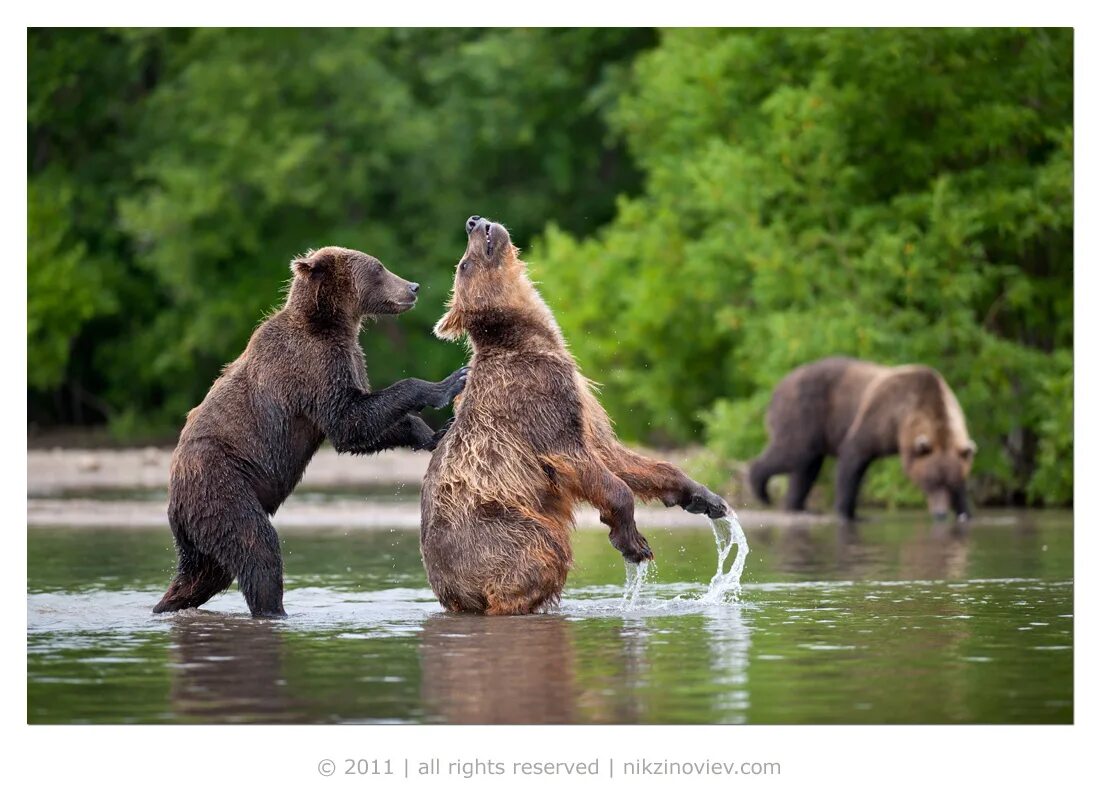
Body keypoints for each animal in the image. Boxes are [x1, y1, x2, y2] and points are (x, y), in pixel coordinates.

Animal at [151, 248, 468, 620]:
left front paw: (433, 434)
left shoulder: (347, 360)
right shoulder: (311, 367)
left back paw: (167, 605)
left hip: (200, 527)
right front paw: (449, 383)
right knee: (256, 545)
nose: (413, 287)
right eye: (378, 268)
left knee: (204, 572)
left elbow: (360, 429)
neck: (330, 323)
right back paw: (275, 611)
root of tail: (174, 498)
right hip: (222, 485)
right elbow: (351, 420)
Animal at [415, 215, 726, 615]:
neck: (533, 338)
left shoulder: (582, 404)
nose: (473, 221)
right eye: (464, 265)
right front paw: (634, 543)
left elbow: (616, 455)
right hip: (497, 528)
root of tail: (451, 592)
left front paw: (702, 496)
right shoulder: (539, 402)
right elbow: (585, 465)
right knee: (543, 549)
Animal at [752, 356, 976, 521]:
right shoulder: (880, 417)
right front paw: (848, 512)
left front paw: (965, 511)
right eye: (930, 481)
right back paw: (760, 489)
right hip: (803, 411)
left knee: (807, 466)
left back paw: (798, 506)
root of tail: (778, 386)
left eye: (949, 483)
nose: (940, 513)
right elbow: (853, 458)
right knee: (794, 452)